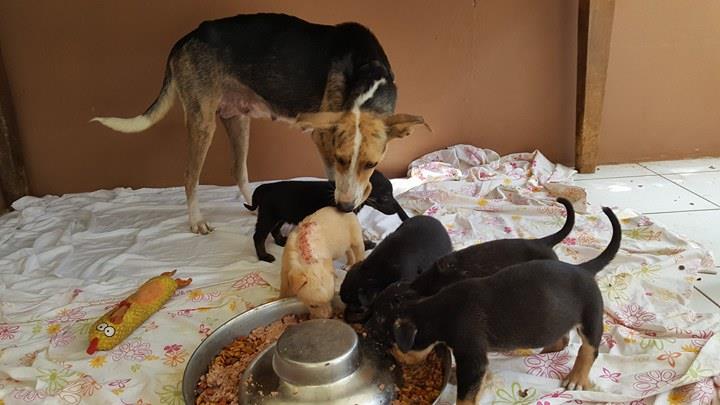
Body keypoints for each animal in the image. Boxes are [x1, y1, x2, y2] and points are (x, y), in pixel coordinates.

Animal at [91, 13, 427, 234]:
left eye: (372, 164)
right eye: (341, 159)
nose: (345, 207)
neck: (368, 74)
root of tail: (186, 38)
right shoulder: (323, 139)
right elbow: (334, 182)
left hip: (237, 120)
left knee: (238, 171)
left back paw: (254, 204)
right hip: (202, 122)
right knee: (190, 176)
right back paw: (196, 220)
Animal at [246, 170, 408, 262]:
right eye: (386, 196)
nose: (398, 210)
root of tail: (265, 187)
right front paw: (366, 244)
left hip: (280, 216)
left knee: (275, 230)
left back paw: (281, 241)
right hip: (268, 216)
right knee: (258, 236)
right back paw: (263, 256)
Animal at [387, 206, 621, 405]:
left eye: (395, 341)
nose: (394, 356)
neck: (438, 309)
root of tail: (584, 268)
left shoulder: (472, 356)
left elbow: (465, 396)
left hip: (591, 315)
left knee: (588, 349)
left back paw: (576, 378)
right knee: (561, 338)